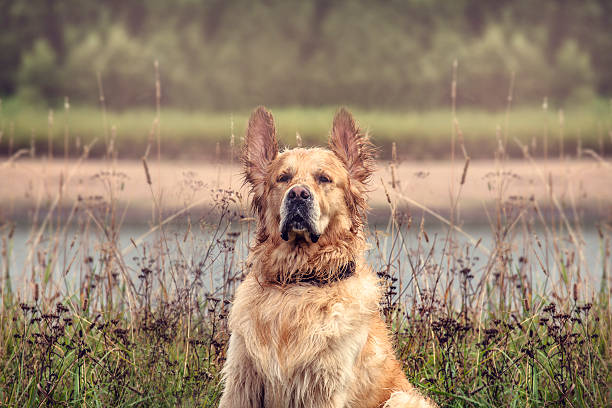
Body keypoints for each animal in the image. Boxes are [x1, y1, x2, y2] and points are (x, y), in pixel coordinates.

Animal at [219, 107, 436, 406]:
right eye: (283, 178)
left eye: (324, 178)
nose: (298, 194)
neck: (300, 279)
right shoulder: (242, 381)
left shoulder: (325, 387)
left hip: (402, 398)